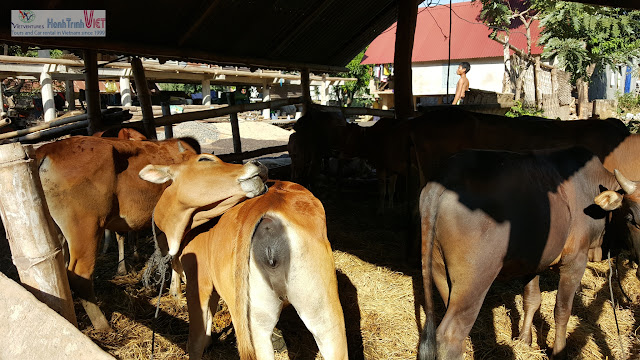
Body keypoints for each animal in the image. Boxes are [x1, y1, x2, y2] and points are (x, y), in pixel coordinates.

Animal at [36, 136, 200, 332]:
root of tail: (48, 149)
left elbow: (169, 253)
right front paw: (180, 292)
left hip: (60, 232)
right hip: (87, 228)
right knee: (79, 275)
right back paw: (103, 325)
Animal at [141, 154, 350, 360]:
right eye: (205, 159)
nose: (257, 163)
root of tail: (267, 204)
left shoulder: (199, 280)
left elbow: (197, 338)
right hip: (320, 309)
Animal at [418, 147, 640, 360]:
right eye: (631, 218)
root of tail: (444, 178)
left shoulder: (534, 260)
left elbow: (531, 300)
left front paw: (525, 339)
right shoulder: (575, 260)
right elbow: (562, 310)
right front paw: (559, 352)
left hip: (440, 272)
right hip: (474, 280)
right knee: (450, 336)